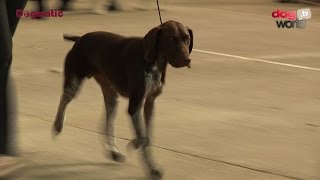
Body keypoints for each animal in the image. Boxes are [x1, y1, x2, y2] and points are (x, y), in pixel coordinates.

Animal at [53, 20, 192, 178]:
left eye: (187, 38)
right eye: (171, 38)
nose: (187, 59)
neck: (154, 62)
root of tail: (80, 38)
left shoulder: (150, 103)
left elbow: (147, 137)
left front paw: (138, 146)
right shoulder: (135, 105)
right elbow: (143, 138)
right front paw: (152, 168)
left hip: (112, 97)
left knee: (107, 126)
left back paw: (114, 152)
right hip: (74, 84)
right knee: (63, 101)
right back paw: (57, 126)